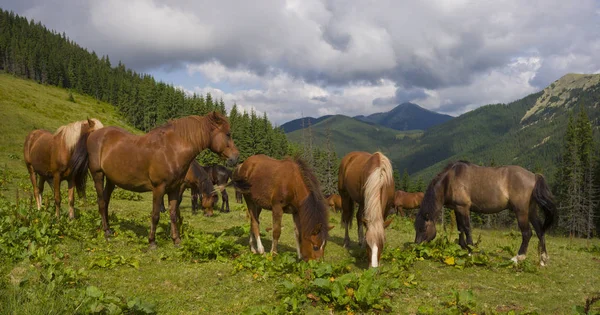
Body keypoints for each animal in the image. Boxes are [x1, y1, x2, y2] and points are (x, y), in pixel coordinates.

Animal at [70, 112, 239, 248]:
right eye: (228, 134)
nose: (235, 158)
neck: (171, 150)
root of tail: (95, 134)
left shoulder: (174, 188)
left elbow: (173, 213)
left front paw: (176, 240)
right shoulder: (159, 188)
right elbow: (156, 214)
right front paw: (152, 242)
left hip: (112, 180)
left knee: (105, 202)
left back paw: (110, 229)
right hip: (98, 175)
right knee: (101, 202)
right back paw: (106, 231)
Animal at [412, 160, 556, 266]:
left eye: (423, 228)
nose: (416, 247)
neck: (451, 179)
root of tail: (534, 176)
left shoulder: (463, 207)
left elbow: (467, 228)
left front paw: (470, 250)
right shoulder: (457, 208)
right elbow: (460, 229)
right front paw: (463, 247)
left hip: (521, 211)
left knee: (527, 233)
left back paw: (518, 258)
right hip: (531, 211)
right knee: (540, 231)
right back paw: (543, 260)